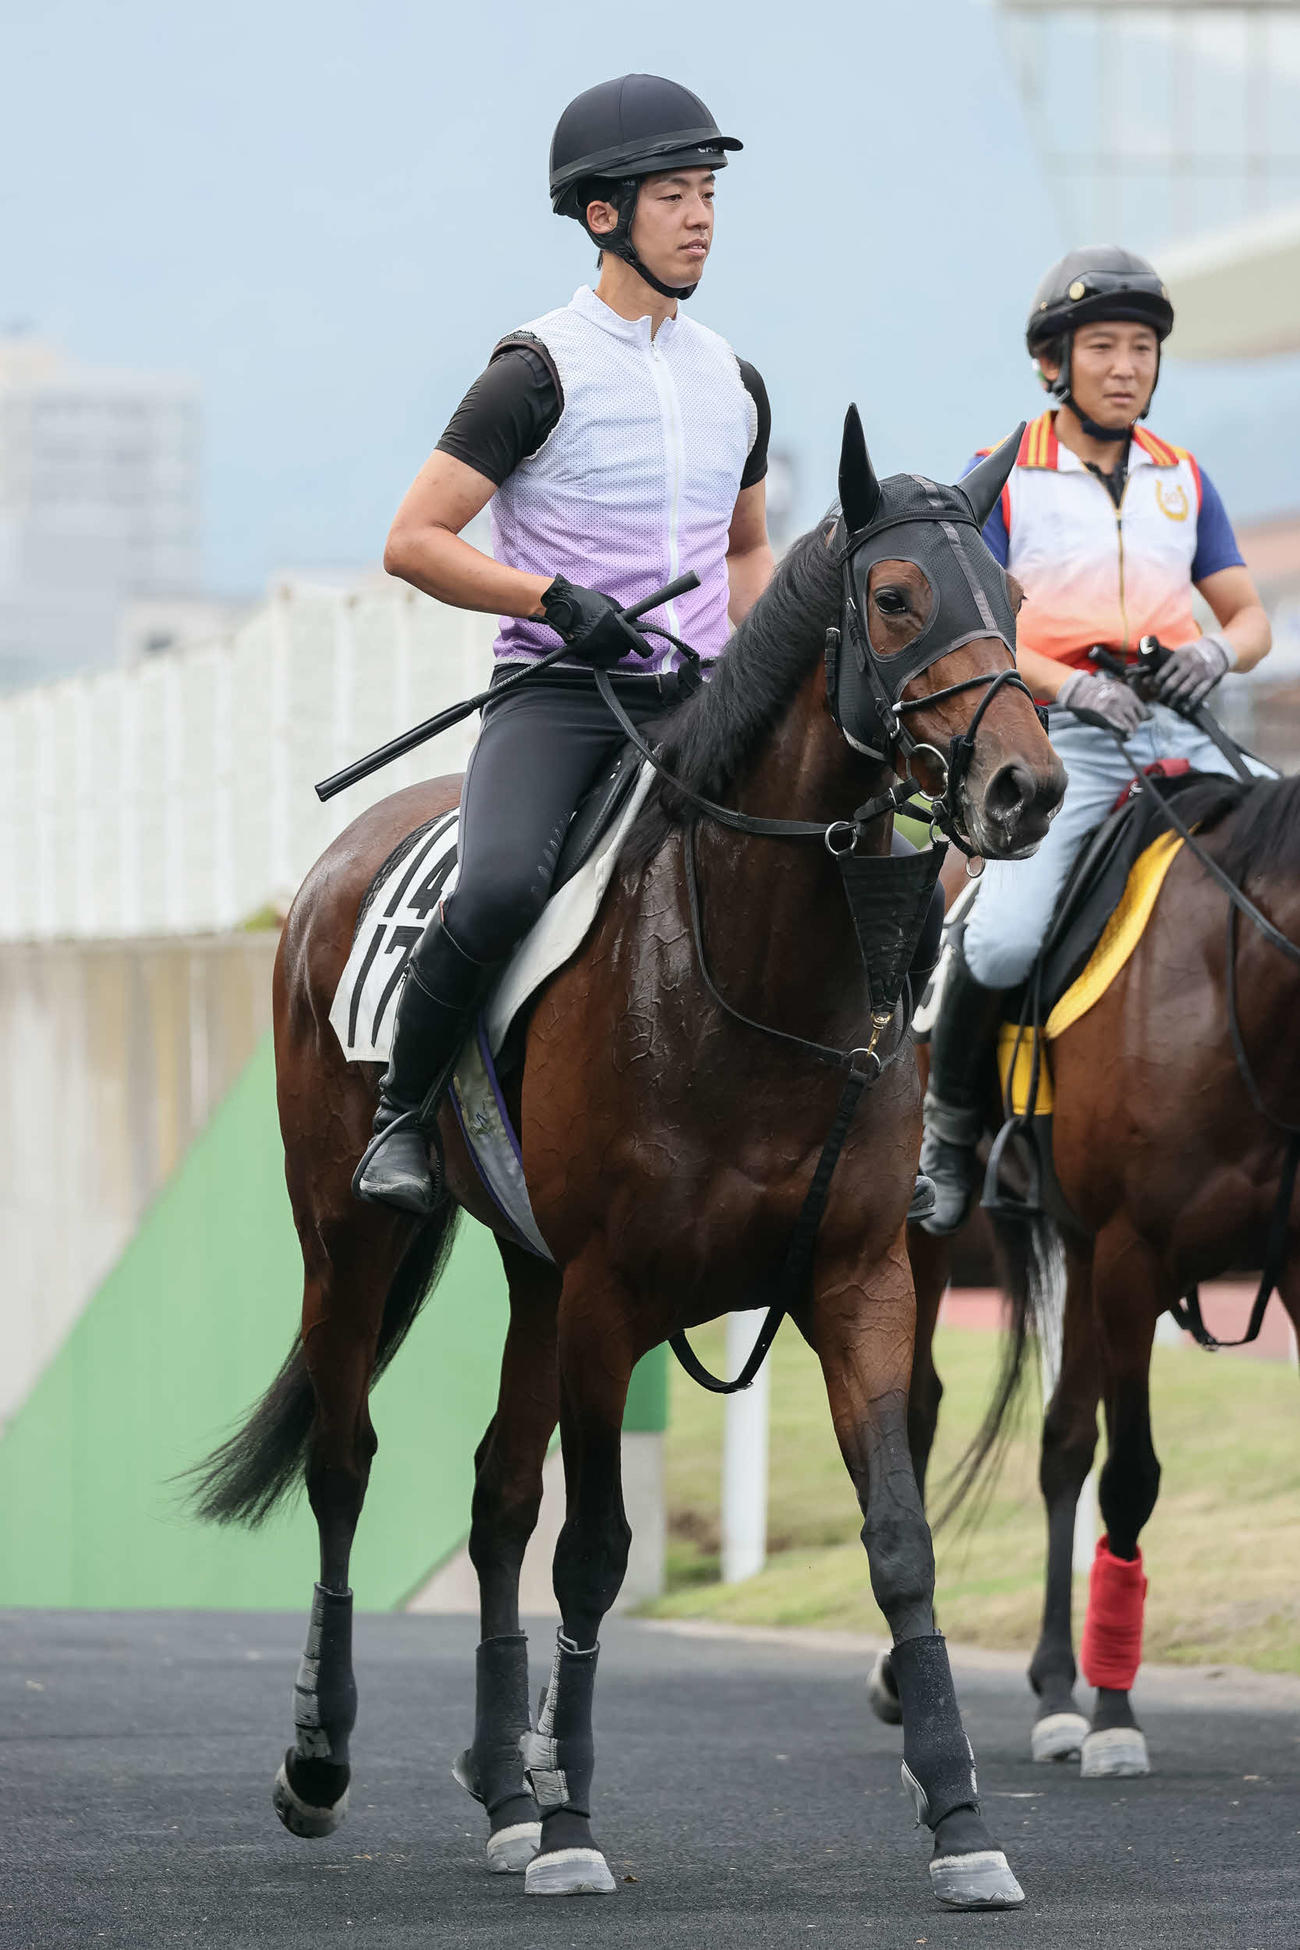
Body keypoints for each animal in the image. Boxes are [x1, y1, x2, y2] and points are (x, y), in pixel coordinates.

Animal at [189, 407, 1065, 1910]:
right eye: (896, 598)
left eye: (1009, 598)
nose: (1028, 785)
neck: (751, 971)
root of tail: (336, 863)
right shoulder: (614, 1295)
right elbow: (594, 1553)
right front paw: (577, 1825)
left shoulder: (858, 1281)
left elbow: (900, 1542)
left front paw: (960, 1816)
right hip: (350, 1238)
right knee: (348, 1460)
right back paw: (321, 1757)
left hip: (532, 1277)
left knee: (494, 1492)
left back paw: (503, 1786)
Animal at [873, 770, 1300, 1780]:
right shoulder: (1133, 1258)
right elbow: (1133, 1476)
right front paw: (1117, 1715)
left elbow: (1084, 1453)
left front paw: (1087, 1700)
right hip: (934, 1240)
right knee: (920, 1409)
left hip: (1069, 1240)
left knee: (1061, 1442)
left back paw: (1056, 1690)